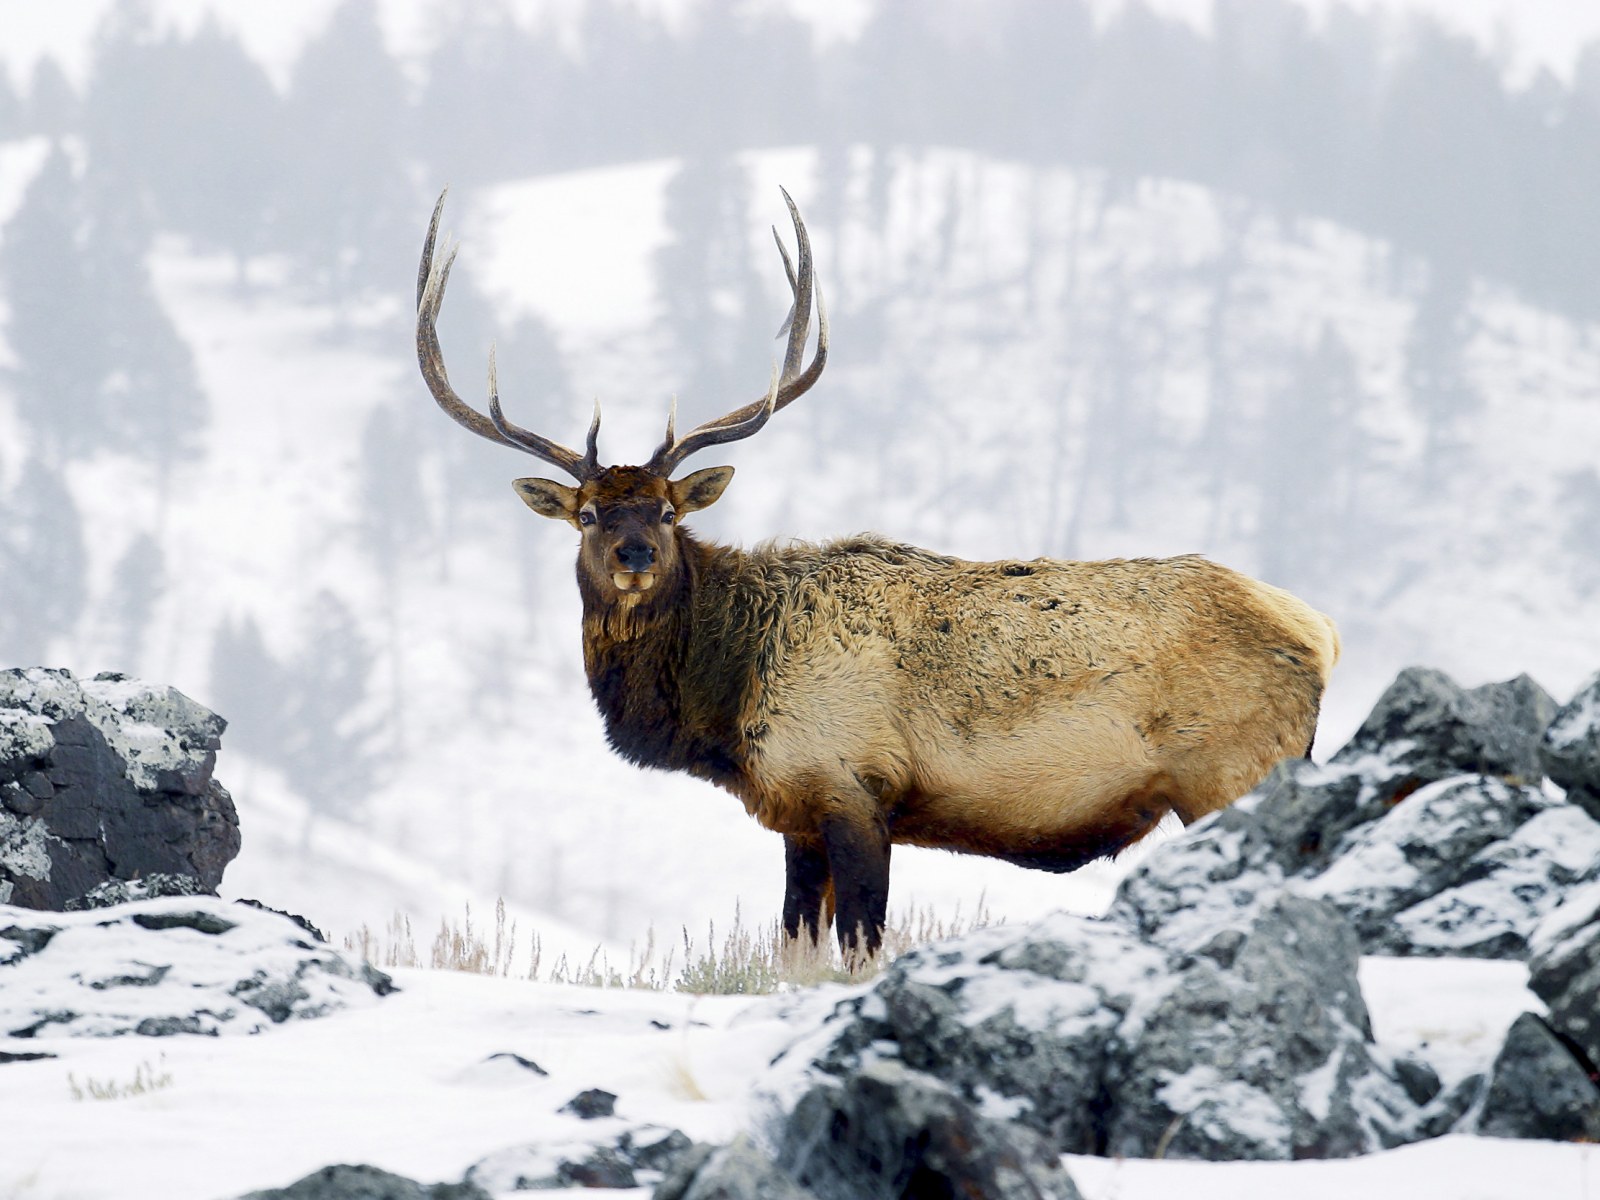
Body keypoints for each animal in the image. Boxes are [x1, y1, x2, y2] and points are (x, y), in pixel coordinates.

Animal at [415, 188, 1341, 960]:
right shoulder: (796, 813)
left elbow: (856, 954)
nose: (635, 555)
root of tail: (1320, 632)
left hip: (1235, 771)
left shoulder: (854, 787)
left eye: (670, 513)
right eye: (590, 514)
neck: (728, 699)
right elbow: (794, 954)